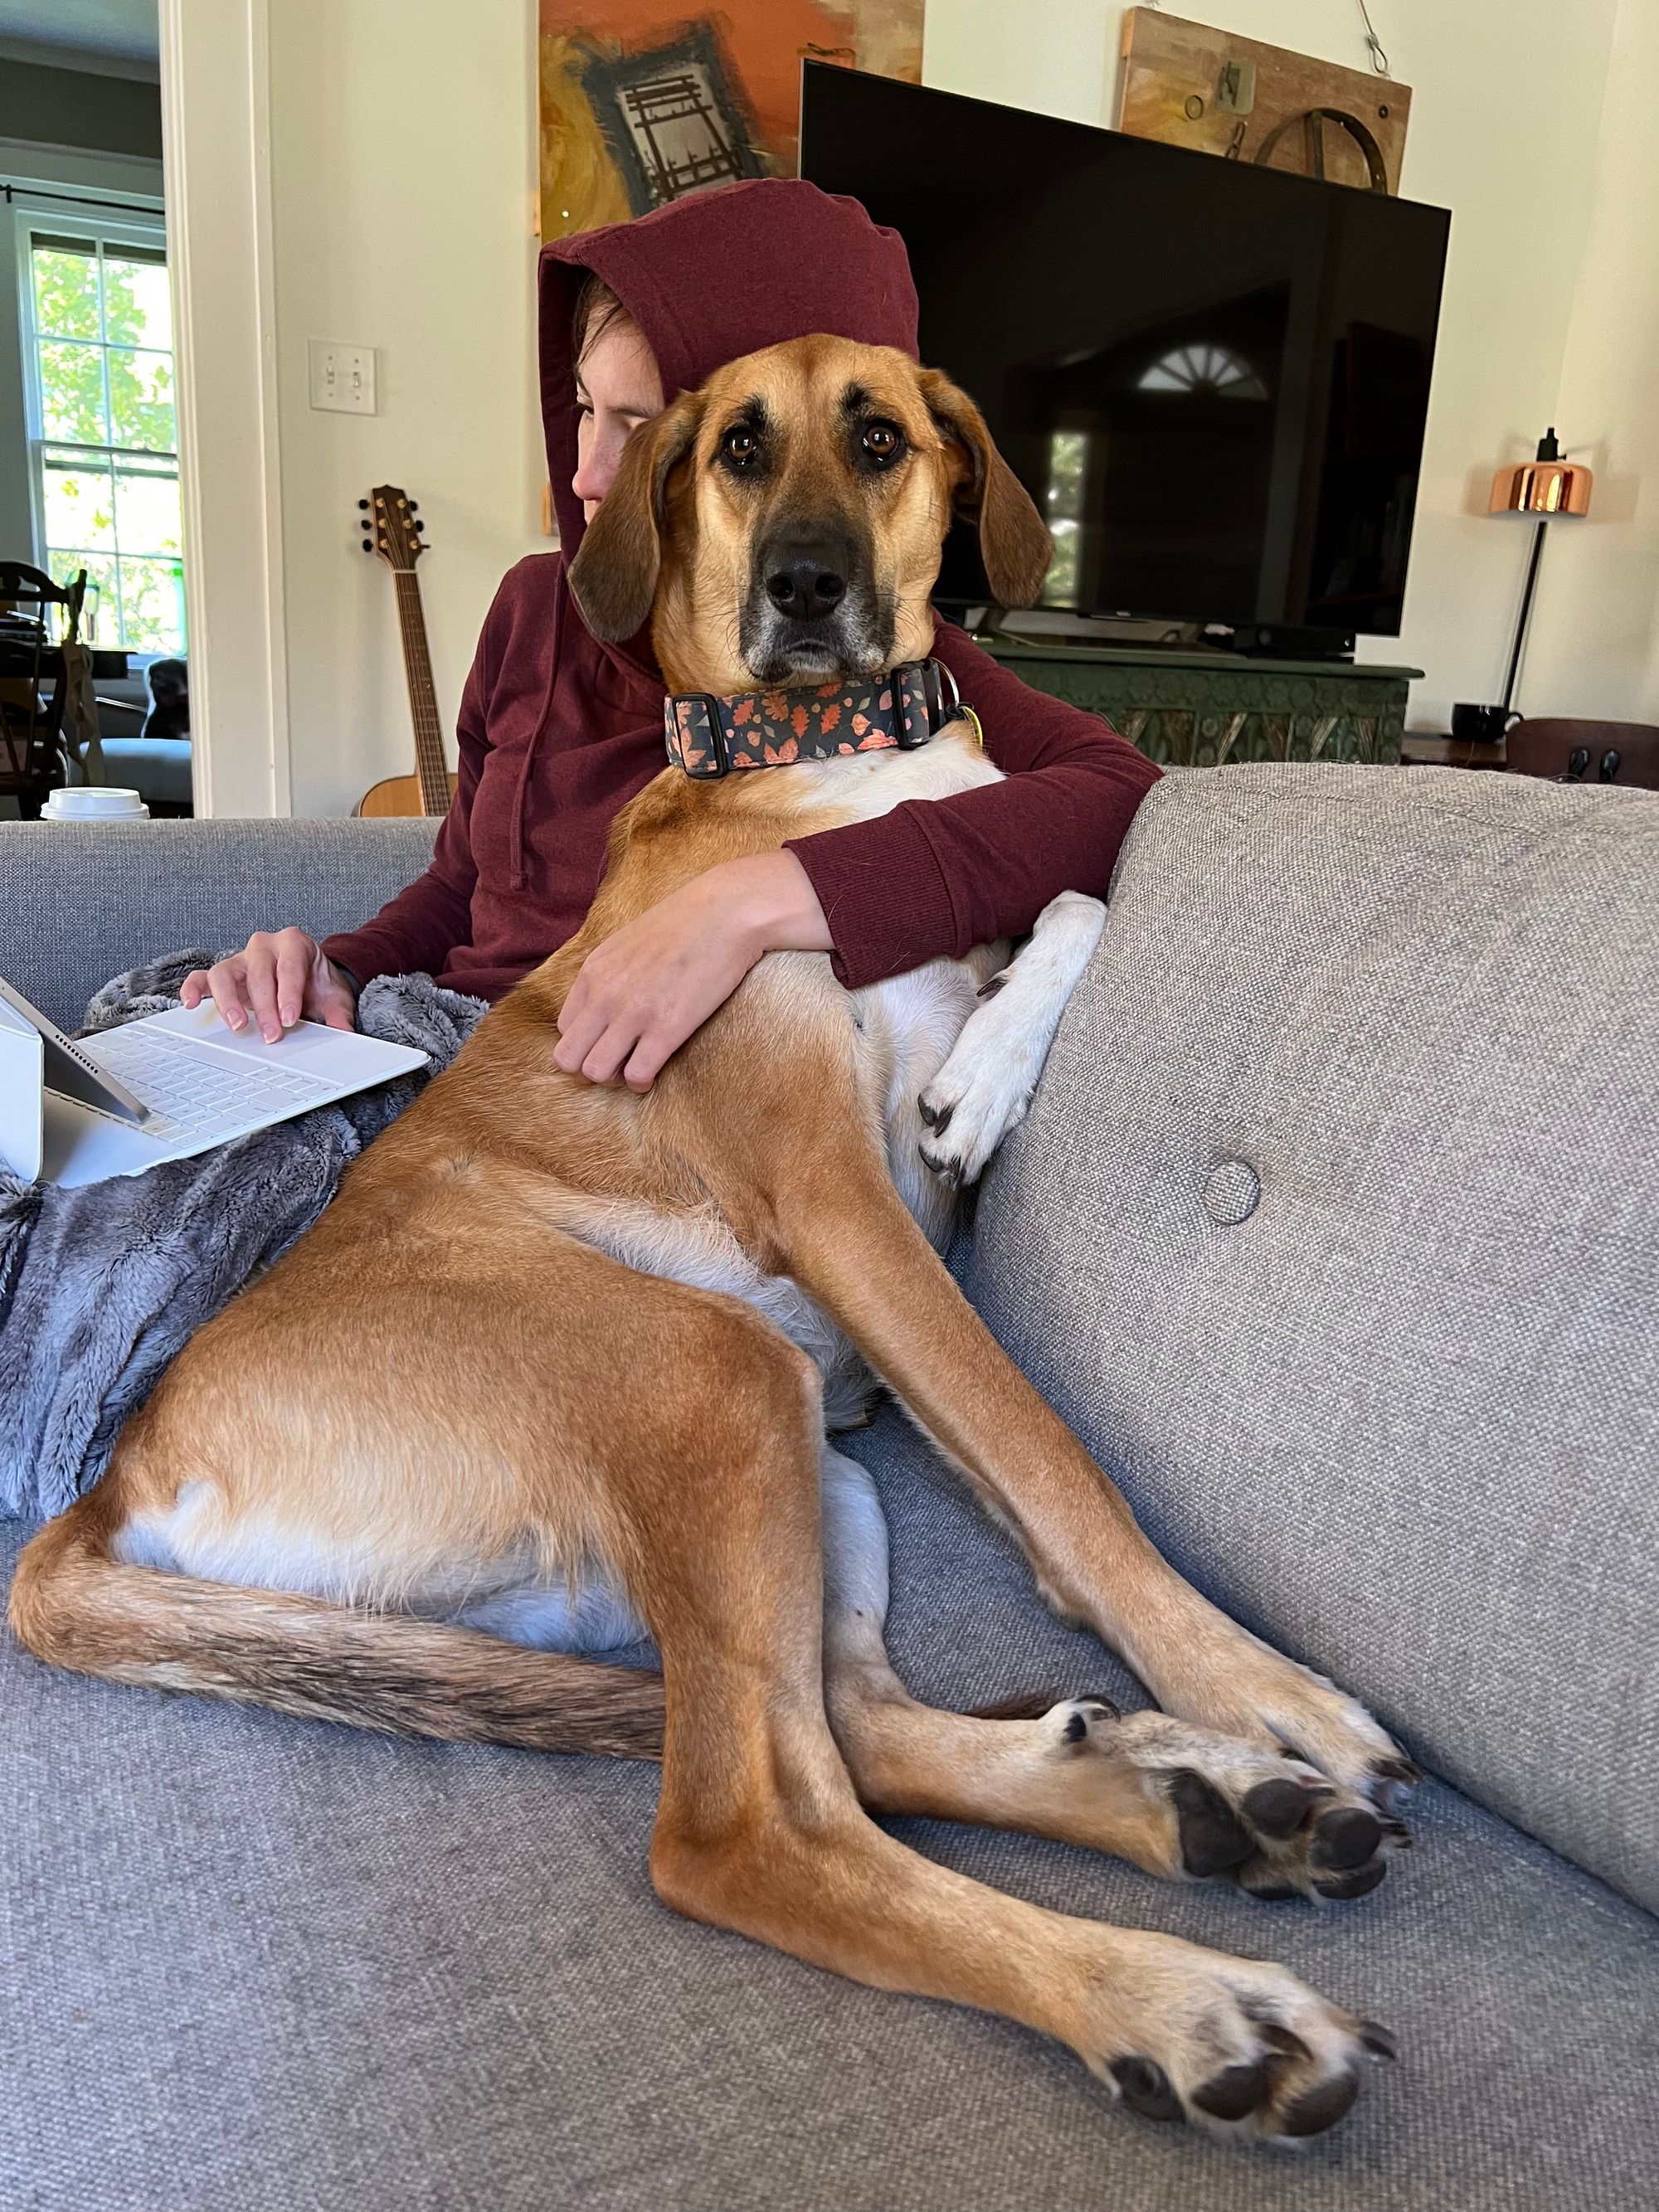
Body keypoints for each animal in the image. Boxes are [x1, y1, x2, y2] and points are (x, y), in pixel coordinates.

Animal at [9, 340, 1415, 2141]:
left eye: (880, 437)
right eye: (736, 449)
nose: (805, 585)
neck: (825, 754)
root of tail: (123, 1466)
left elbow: (1073, 895)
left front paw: (980, 1073)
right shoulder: (833, 1199)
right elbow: (1048, 1452)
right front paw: (1255, 1686)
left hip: (810, 1469)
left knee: (851, 1726)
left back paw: (1204, 1803)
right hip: (710, 1366)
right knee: (750, 1831)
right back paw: (1182, 1989)